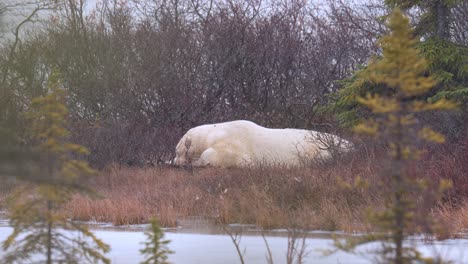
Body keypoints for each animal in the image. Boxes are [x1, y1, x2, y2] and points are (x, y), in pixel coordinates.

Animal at [174, 120, 352, 168]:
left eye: (177, 151)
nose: (175, 161)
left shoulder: (234, 145)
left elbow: (215, 155)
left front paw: (198, 161)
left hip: (323, 150)